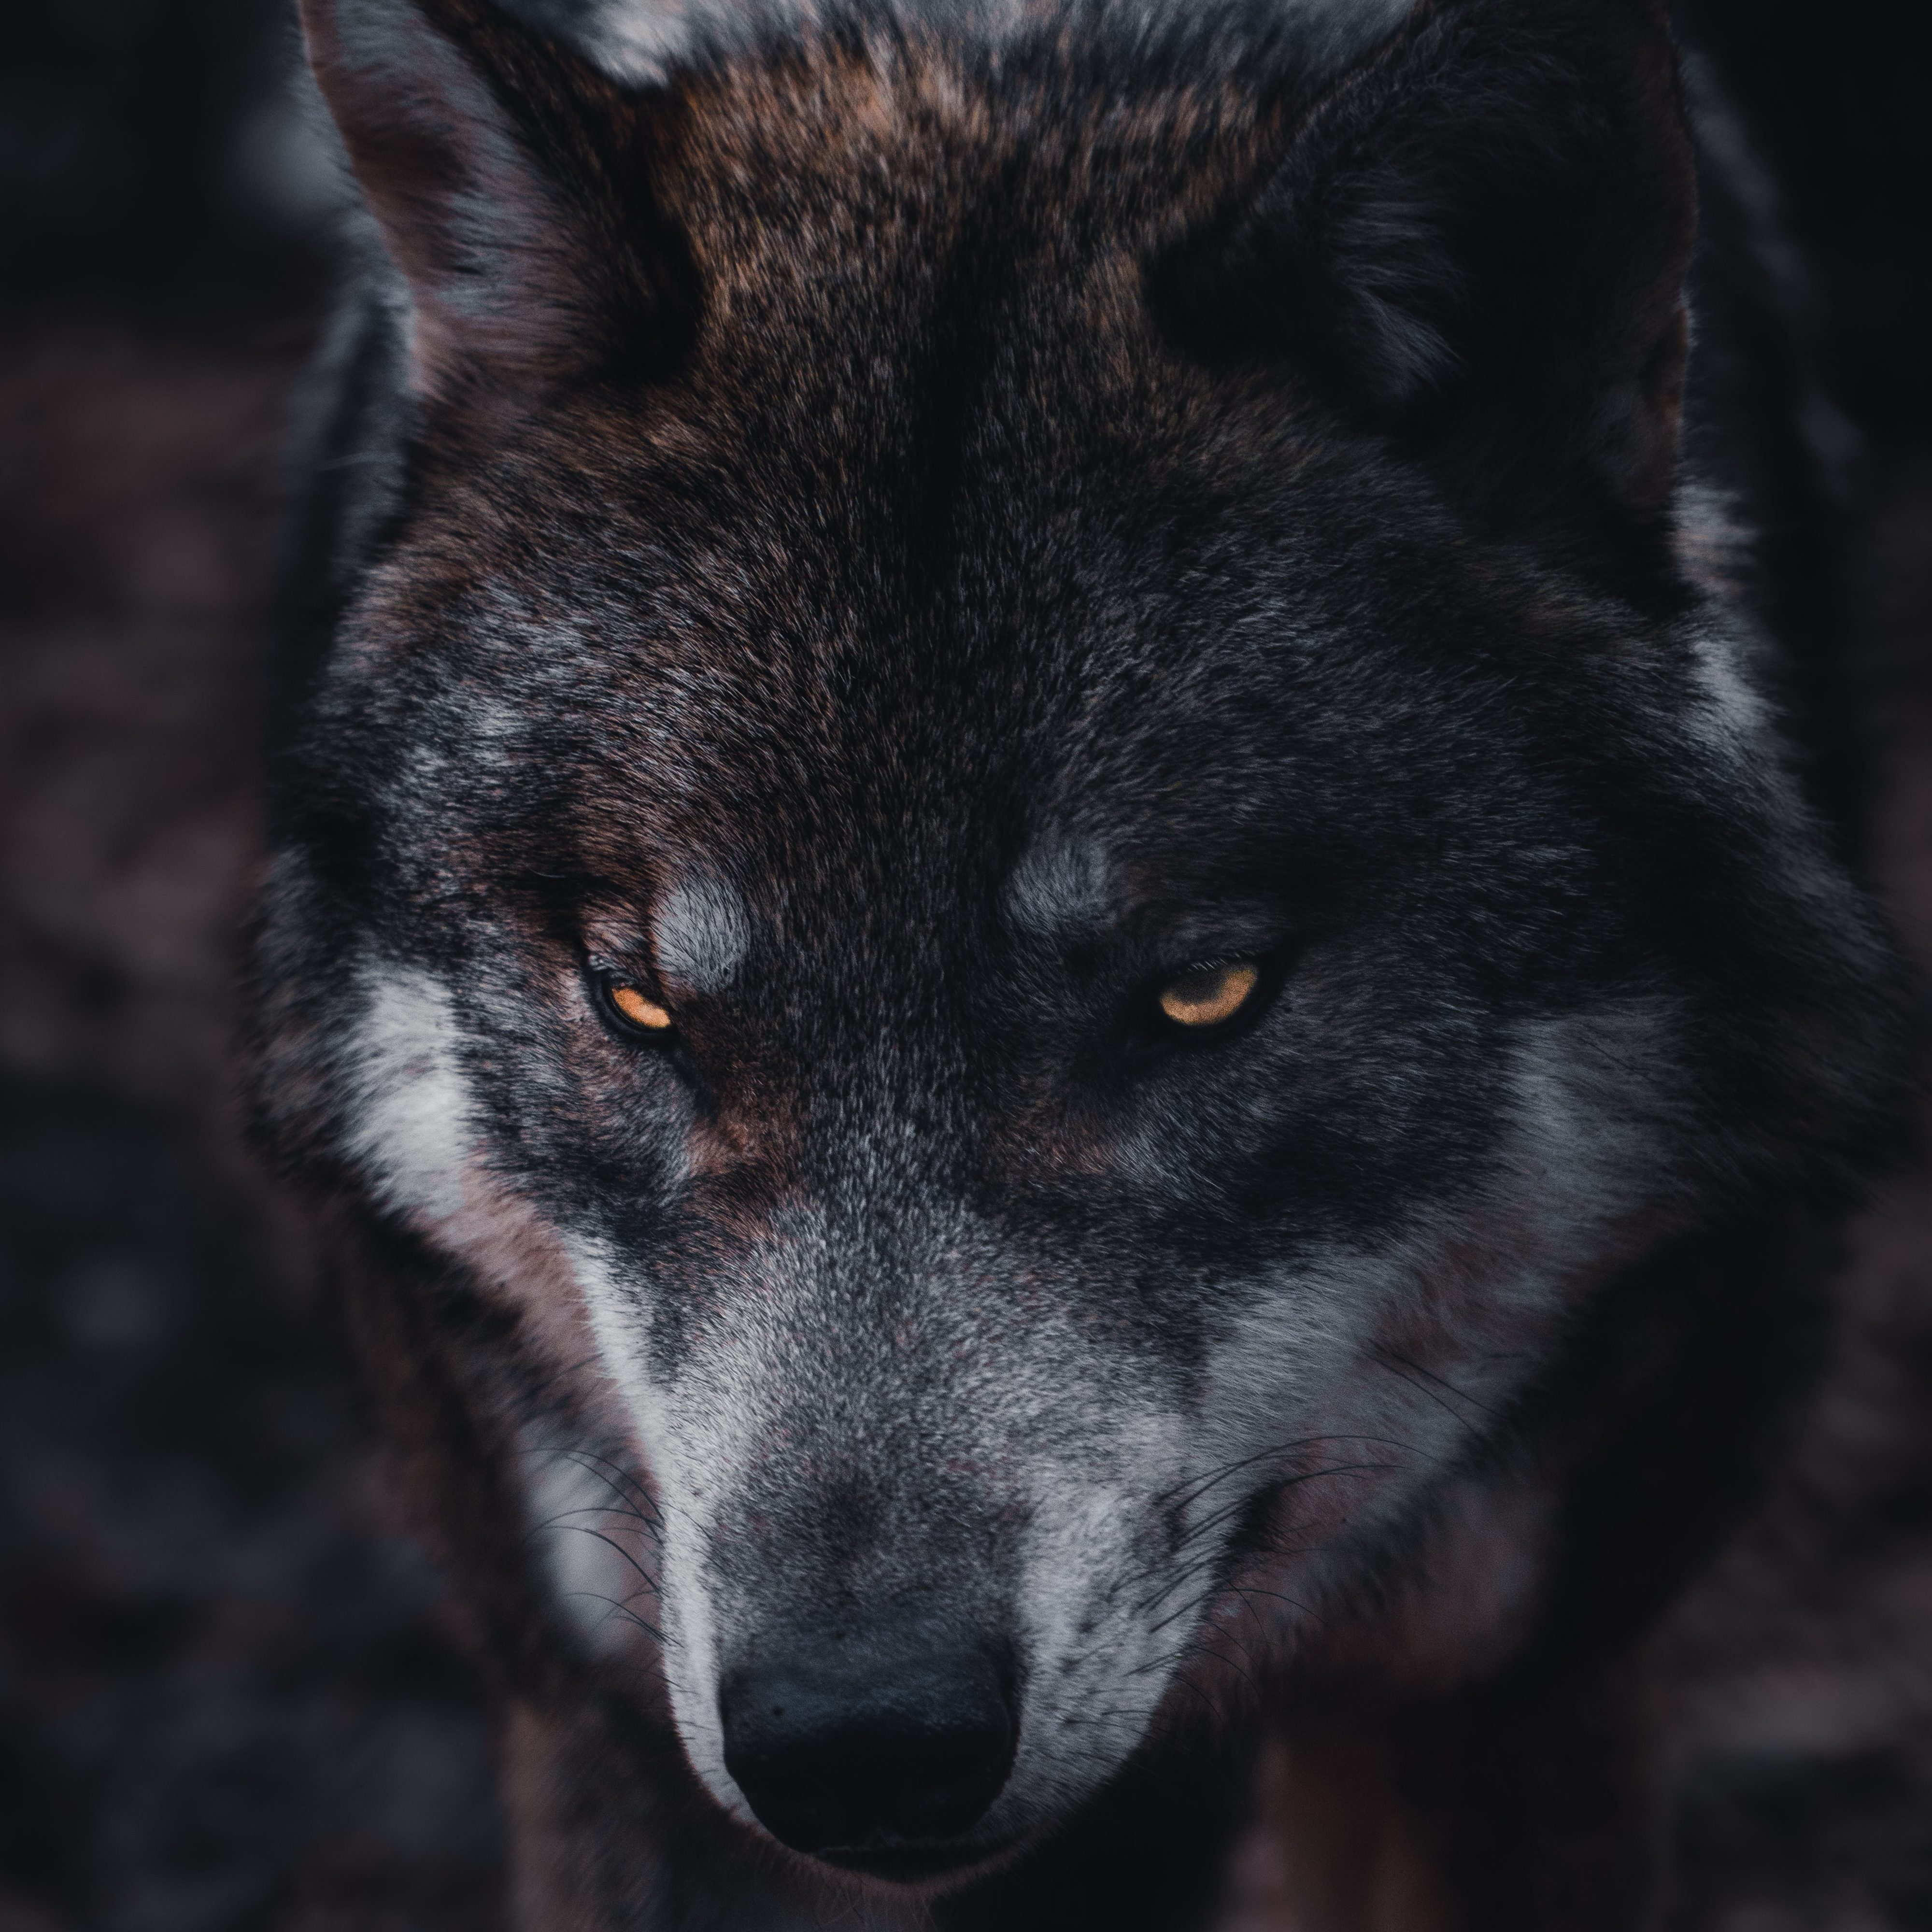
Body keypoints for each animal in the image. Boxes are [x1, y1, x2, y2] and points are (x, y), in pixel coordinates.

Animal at [251, 0, 1910, 1923]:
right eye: (637, 1000)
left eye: (1202, 993)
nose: (856, 1730)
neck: (1014, 58)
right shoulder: (604, 1705)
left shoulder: (1522, 1679)